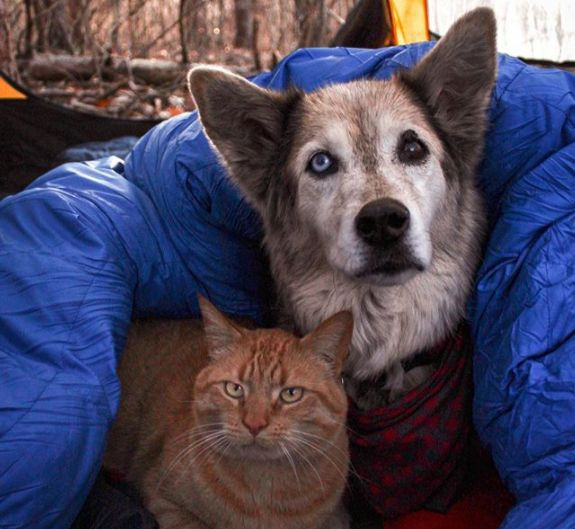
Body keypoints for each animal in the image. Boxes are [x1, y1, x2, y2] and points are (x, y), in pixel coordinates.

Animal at [105, 296, 354, 528]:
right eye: (234, 389)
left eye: (291, 394)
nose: (254, 424)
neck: (265, 492)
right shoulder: (162, 498)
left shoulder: (337, 518)